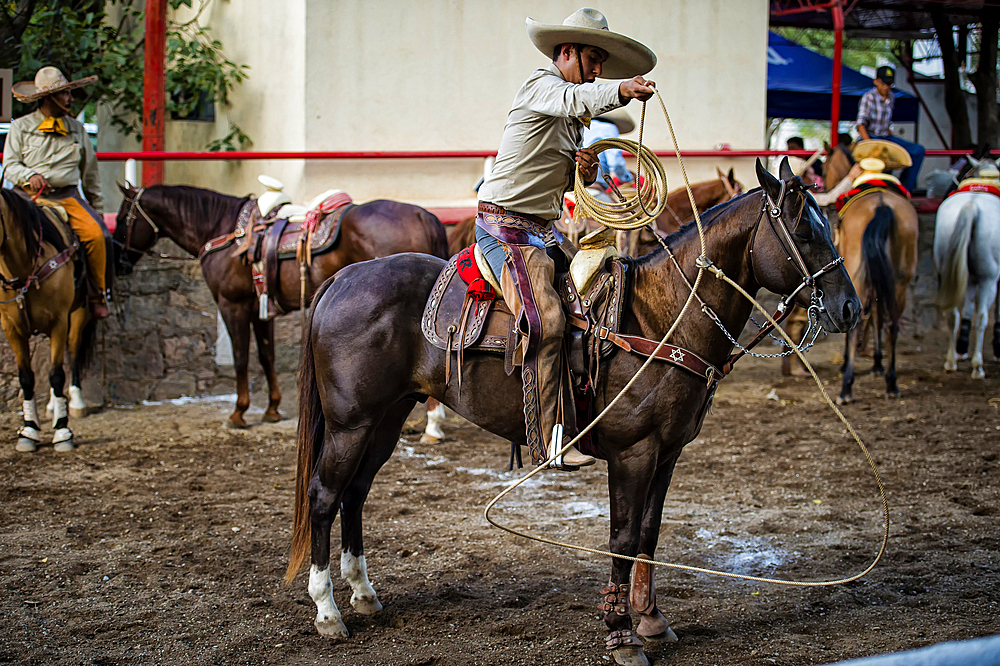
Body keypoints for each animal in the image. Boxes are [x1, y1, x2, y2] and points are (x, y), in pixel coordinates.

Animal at [1, 189, 96, 454]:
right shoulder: (12, 329)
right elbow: (26, 378)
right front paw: (29, 430)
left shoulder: (58, 322)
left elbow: (56, 374)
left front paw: (63, 432)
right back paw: (53, 406)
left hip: (78, 314)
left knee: (71, 354)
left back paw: (74, 402)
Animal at [112, 183, 450, 426]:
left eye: (123, 217)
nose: (119, 259)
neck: (226, 231)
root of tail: (423, 215)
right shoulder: (260, 310)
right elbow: (266, 356)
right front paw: (272, 409)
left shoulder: (232, 305)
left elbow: (241, 358)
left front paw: (238, 413)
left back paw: (431, 424)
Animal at [282, 161, 860, 664]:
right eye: (804, 230)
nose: (850, 307)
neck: (660, 317)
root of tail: (342, 279)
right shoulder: (633, 452)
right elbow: (623, 539)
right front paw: (622, 636)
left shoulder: (669, 451)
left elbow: (649, 533)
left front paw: (652, 620)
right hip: (350, 424)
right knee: (325, 495)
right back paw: (328, 611)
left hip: (386, 419)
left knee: (356, 493)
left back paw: (364, 594)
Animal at [836, 184, 916, 402]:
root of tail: (881, 205)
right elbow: (878, 318)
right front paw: (878, 364)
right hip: (899, 281)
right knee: (891, 326)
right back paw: (891, 383)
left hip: (858, 276)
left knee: (855, 325)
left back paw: (846, 386)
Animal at [932, 158, 1000, 376]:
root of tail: (972, 205)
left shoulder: (968, 277)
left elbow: (967, 309)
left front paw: (962, 347)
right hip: (989, 277)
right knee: (982, 317)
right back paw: (977, 365)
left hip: (947, 269)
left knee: (953, 314)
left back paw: (951, 359)